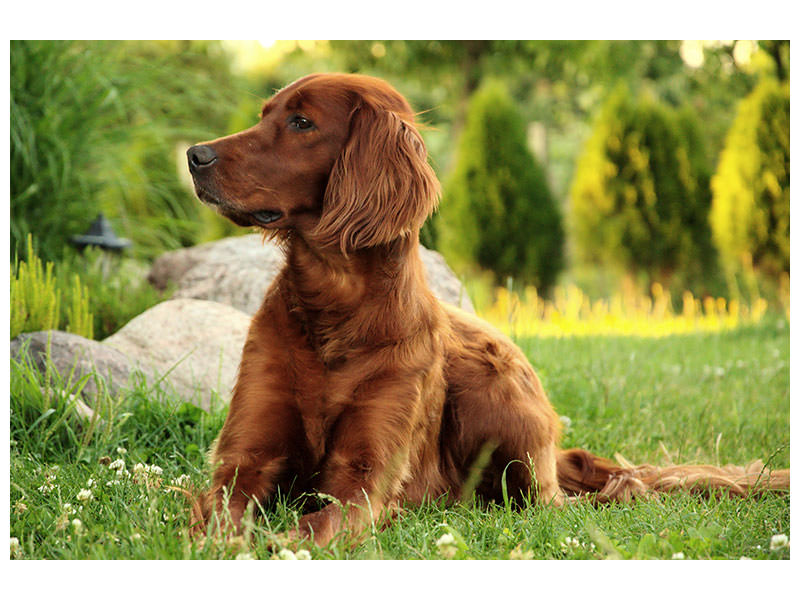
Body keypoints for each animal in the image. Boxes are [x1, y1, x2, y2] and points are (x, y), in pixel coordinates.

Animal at [186, 72, 788, 548]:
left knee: (577, 498)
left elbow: (320, 524)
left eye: (302, 122)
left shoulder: (364, 478)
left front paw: (279, 544)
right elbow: (221, 514)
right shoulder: (245, 462)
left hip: (492, 393)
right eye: (265, 115)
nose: (194, 155)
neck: (335, 307)